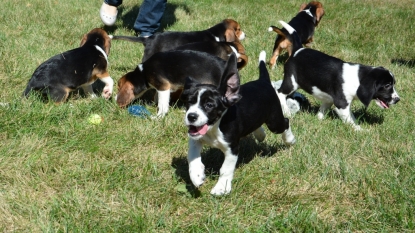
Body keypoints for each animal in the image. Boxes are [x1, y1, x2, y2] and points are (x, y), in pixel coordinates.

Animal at [182, 52, 296, 196]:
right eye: (189, 102)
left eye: (209, 105)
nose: (191, 116)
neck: (215, 128)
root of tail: (262, 81)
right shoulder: (196, 139)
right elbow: (192, 156)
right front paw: (196, 175)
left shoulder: (232, 148)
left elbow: (225, 169)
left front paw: (221, 188)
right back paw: (260, 134)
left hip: (274, 121)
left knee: (285, 122)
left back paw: (290, 140)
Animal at [272, 20, 400, 130]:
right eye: (387, 85)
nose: (398, 99)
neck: (358, 78)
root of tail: (298, 50)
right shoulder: (341, 104)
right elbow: (351, 120)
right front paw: (360, 130)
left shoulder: (335, 101)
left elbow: (327, 112)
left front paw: (319, 120)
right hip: (291, 82)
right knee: (280, 93)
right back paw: (287, 111)